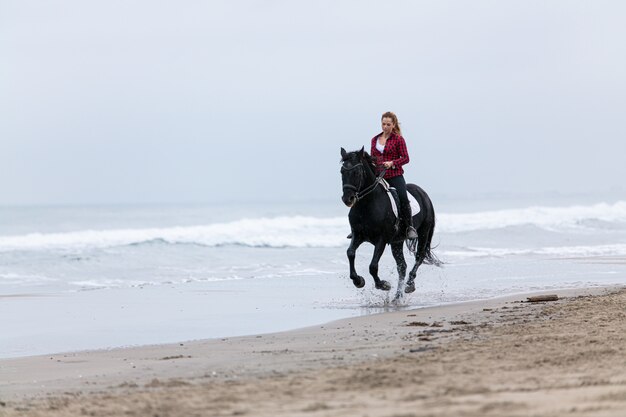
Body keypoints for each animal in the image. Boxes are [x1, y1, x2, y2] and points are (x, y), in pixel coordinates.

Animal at [338, 146, 436, 300]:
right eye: (342, 171)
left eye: (357, 172)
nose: (348, 199)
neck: (367, 205)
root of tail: (423, 193)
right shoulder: (358, 235)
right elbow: (350, 253)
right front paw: (358, 281)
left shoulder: (381, 239)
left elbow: (373, 266)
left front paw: (383, 285)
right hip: (397, 242)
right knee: (402, 267)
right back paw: (397, 297)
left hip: (423, 233)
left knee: (418, 258)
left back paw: (409, 285)